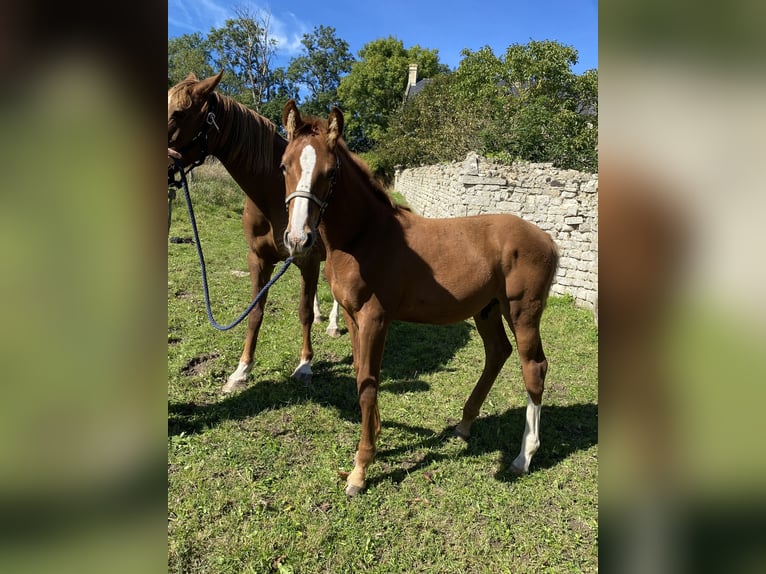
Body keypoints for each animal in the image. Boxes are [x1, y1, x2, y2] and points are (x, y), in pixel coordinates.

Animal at [170, 73, 340, 396]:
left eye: (179, 113)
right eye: (283, 166)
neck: (271, 194)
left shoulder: (308, 259)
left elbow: (303, 312)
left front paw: (305, 365)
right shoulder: (259, 259)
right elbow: (256, 312)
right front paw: (241, 371)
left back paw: (334, 324)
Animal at [280, 101, 560, 498]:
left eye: (330, 171)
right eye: (283, 166)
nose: (298, 239)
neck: (365, 236)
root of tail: (547, 239)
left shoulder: (375, 319)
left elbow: (368, 385)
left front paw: (360, 470)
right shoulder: (351, 317)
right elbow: (360, 376)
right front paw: (374, 440)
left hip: (522, 312)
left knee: (533, 367)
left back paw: (524, 457)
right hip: (487, 311)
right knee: (497, 352)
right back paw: (464, 424)